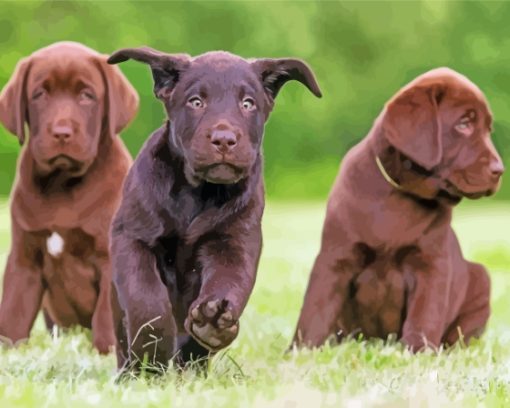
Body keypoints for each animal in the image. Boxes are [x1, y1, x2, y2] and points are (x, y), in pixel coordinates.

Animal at [108, 47, 320, 370]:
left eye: (248, 104)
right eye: (196, 101)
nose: (224, 139)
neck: (198, 192)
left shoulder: (233, 243)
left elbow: (228, 281)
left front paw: (212, 322)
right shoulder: (133, 237)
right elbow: (145, 297)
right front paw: (153, 348)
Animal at [292, 67, 504, 350]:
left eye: (488, 129)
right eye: (464, 123)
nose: (499, 170)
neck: (400, 194)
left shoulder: (431, 264)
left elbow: (425, 314)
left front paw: (419, 351)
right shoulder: (336, 256)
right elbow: (315, 310)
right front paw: (300, 350)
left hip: (481, 279)